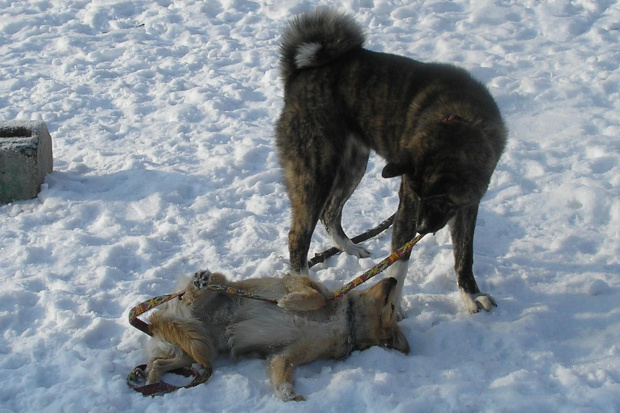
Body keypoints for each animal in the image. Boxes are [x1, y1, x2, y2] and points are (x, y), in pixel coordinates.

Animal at [142, 268, 410, 400]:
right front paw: (291, 302)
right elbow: (317, 296)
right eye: (392, 305)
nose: (393, 278)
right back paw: (199, 283)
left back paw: (153, 384)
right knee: (193, 294)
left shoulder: (287, 354)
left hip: (196, 348)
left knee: (157, 363)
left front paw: (289, 395)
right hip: (213, 293)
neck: (348, 320)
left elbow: (281, 371)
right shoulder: (299, 281)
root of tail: (158, 320)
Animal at [278, 8, 508, 312]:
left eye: (441, 201)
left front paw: (470, 294)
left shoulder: (467, 206)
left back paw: (350, 247)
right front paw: (393, 306)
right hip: (317, 170)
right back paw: (305, 284)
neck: (462, 118)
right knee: (298, 235)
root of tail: (301, 73)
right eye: (419, 196)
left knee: (330, 214)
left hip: (354, 165)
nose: (421, 229)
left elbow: (464, 254)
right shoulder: (407, 203)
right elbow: (399, 262)